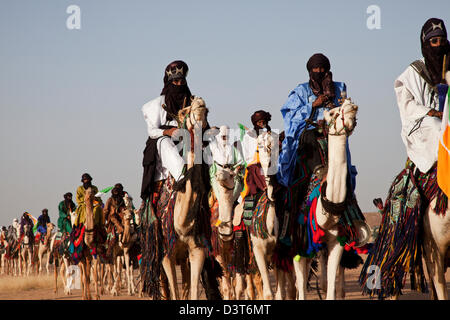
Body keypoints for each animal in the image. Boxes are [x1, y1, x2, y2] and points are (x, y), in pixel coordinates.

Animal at [292, 98, 370, 300]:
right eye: (333, 112)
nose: (351, 105)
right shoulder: (300, 243)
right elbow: (301, 286)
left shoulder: (337, 242)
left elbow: (330, 287)